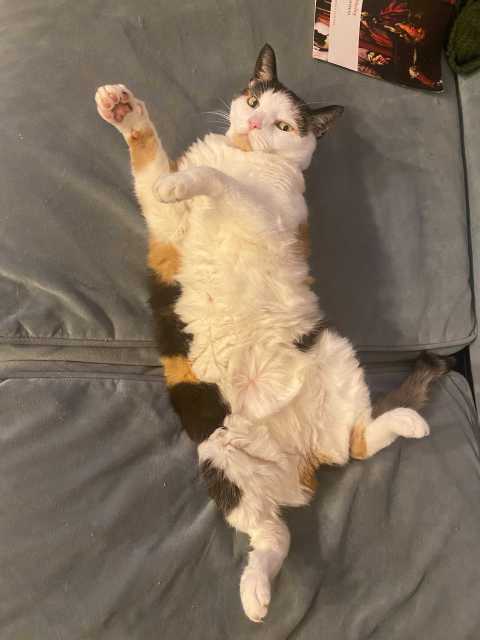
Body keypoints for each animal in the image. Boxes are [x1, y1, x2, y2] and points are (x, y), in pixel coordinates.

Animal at [95, 43, 448, 620]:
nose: (255, 123)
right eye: (256, 101)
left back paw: (408, 423)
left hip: (334, 355)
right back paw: (256, 593)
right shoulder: (170, 232)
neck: (245, 156)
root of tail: (303, 458)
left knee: (357, 443)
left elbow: (223, 184)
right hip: (221, 461)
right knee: (275, 536)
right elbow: (154, 172)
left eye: (284, 126)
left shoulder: (272, 215)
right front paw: (124, 112)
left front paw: (195, 179)